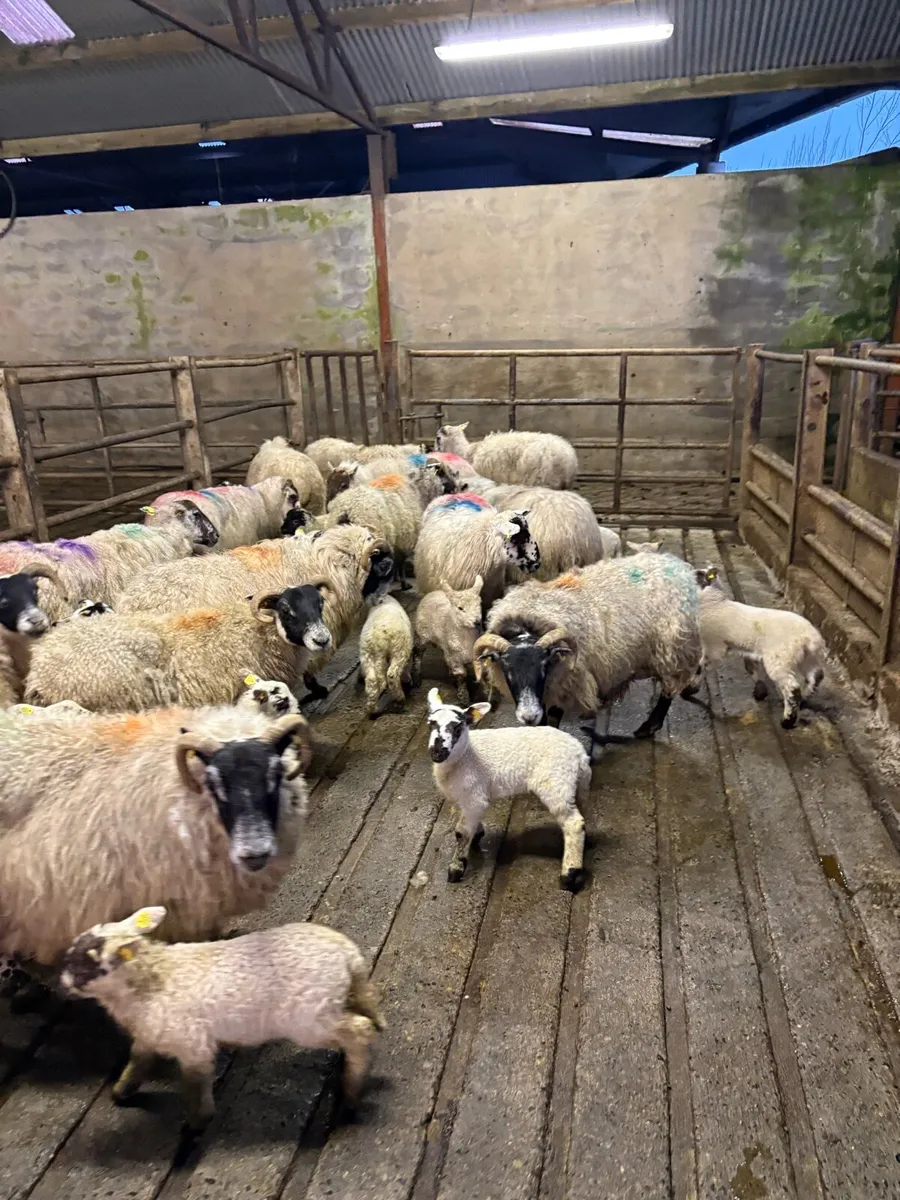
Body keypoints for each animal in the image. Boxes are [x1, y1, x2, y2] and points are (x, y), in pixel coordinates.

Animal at [61, 906, 384, 1131]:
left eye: (89, 964)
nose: (62, 982)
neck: (152, 978)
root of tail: (348, 954)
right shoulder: (150, 1036)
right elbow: (137, 1062)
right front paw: (121, 1092)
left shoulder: (192, 1045)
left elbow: (196, 1085)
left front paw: (197, 1123)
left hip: (310, 1018)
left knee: (360, 1031)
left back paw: (351, 1096)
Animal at [413, 575, 483, 704]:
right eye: (460, 608)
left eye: (479, 604)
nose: (477, 622)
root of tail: (434, 592)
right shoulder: (455, 658)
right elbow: (461, 676)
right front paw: (464, 698)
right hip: (422, 634)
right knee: (417, 653)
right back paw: (416, 677)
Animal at [426, 688, 589, 891]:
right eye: (430, 724)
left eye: (457, 727)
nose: (437, 752)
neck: (465, 755)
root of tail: (580, 752)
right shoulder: (467, 798)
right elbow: (469, 823)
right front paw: (477, 834)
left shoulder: (474, 796)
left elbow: (461, 832)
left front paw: (456, 868)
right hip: (573, 784)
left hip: (555, 783)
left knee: (573, 823)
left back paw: (569, 874)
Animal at [474, 551, 701, 739]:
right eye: (507, 670)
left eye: (544, 666)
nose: (528, 717)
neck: (530, 621)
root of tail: (678, 566)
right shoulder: (549, 688)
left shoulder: (567, 683)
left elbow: (554, 716)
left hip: (673, 649)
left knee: (669, 689)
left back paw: (649, 726)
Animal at [694, 566, 826, 728]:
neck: (715, 604)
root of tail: (809, 637)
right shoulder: (747, 648)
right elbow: (751, 667)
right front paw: (760, 692)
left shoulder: (714, 645)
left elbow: (702, 666)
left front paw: (689, 689)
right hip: (807, 658)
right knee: (816, 676)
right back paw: (805, 698)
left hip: (780, 659)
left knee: (792, 687)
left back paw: (787, 721)